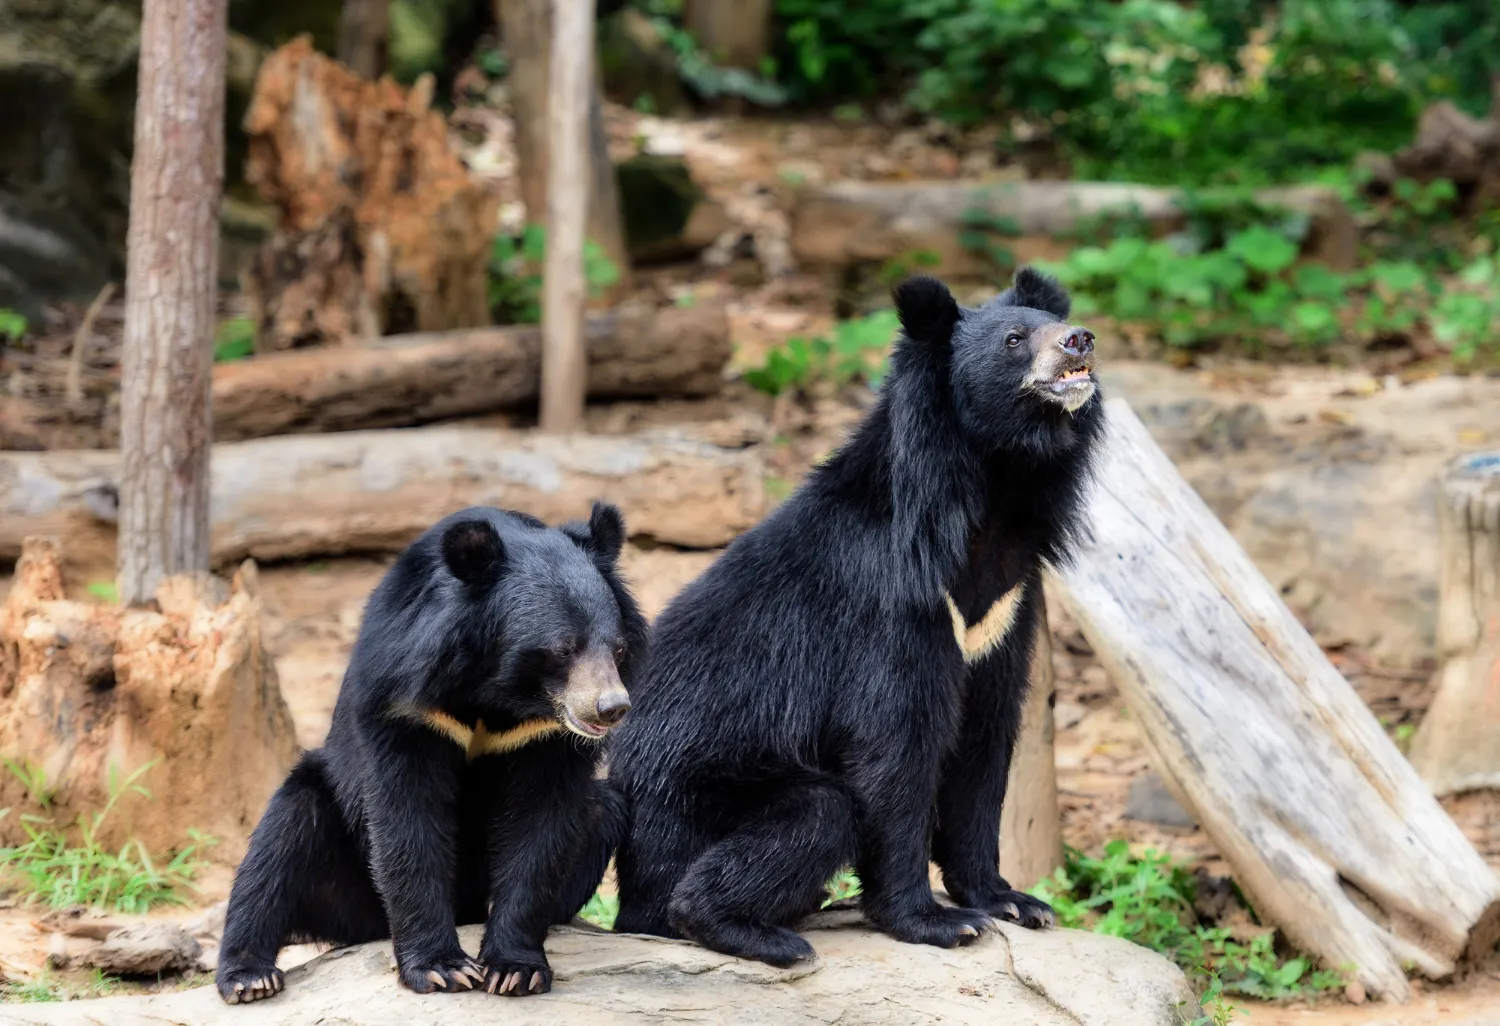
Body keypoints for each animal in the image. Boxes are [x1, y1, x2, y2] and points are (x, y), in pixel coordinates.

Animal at [216, 503, 647, 1003]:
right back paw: (250, 975)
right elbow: (408, 817)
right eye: (562, 649)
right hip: (340, 867)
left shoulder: (542, 733)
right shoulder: (407, 700)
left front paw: (515, 970)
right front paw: (444, 969)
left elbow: (541, 823)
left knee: (600, 807)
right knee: (281, 838)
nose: (611, 708)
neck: (499, 688)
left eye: (617, 649)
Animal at [606, 267, 1104, 967]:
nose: (1080, 340)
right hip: (691, 805)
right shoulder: (893, 607)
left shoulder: (1006, 606)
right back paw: (758, 934)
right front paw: (939, 923)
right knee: (818, 811)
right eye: (1014, 339)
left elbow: (984, 744)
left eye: (1056, 323)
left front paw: (1012, 901)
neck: (989, 496)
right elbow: (894, 749)